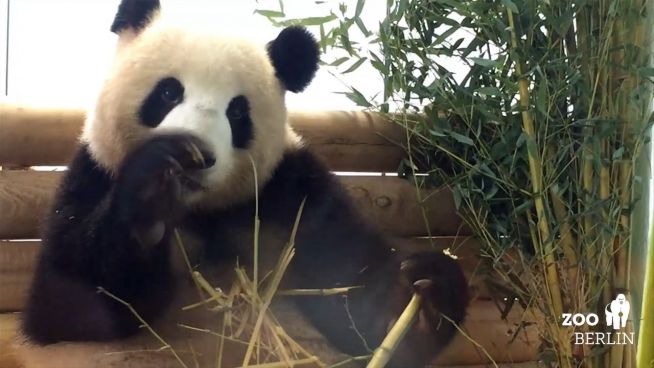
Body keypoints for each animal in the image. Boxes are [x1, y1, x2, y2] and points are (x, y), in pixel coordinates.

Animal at [19, 1, 472, 366]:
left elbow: (357, 309)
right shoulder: (94, 172)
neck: (203, 212)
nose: (199, 156)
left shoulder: (295, 194)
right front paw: (152, 188)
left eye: (237, 112)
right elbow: (70, 308)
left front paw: (426, 297)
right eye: (168, 92)